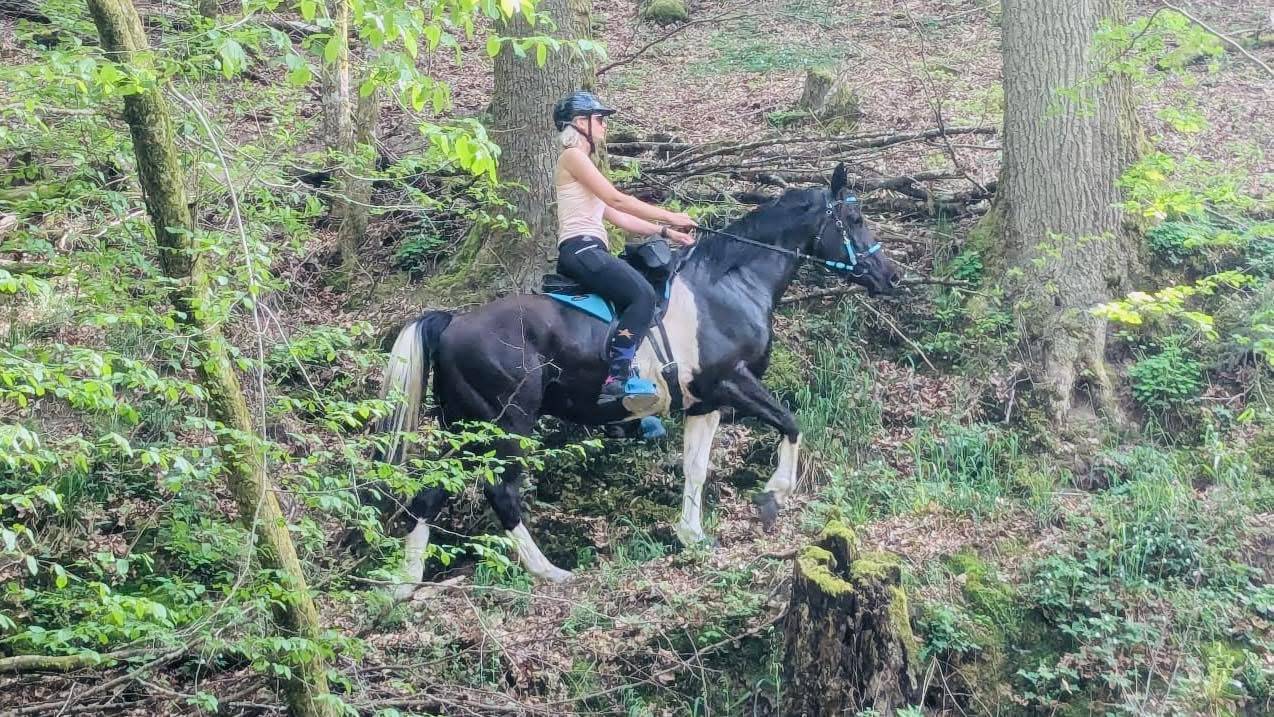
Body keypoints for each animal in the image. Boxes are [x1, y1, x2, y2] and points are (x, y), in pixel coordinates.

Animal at [377, 162, 900, 598]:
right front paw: (774, 495)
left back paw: (404, 584)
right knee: (501, 492)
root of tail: (452, 322)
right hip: (507, 423)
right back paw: (549, 572)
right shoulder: (732, 382)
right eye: (855, 219)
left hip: (467, 427)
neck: (728, 285)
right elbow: (790, 423)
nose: (889, 276)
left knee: (433, 488)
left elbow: (696, 467)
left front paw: (692, 535)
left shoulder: (704, 402)